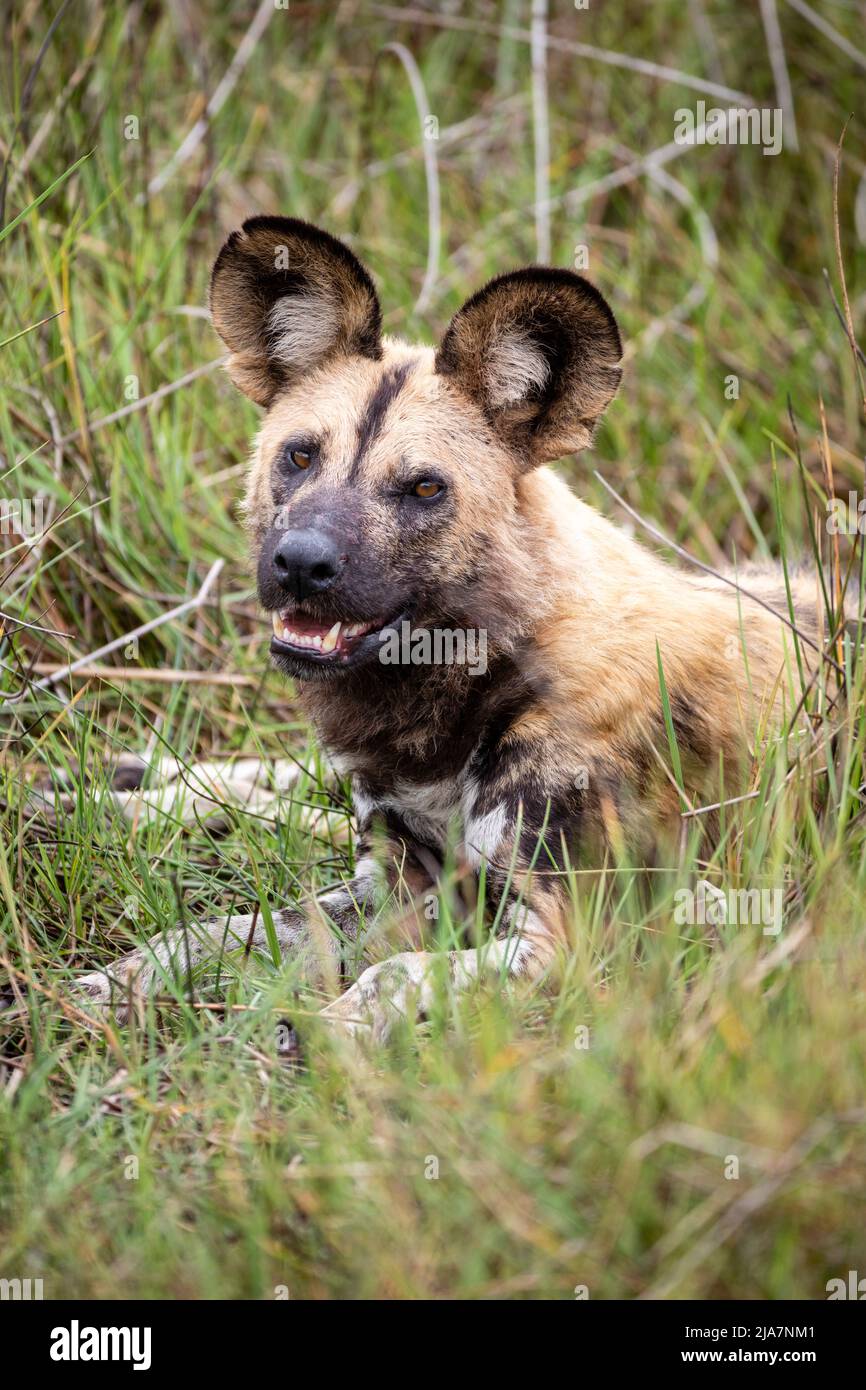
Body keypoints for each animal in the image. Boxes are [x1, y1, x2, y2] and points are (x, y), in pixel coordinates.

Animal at [77, 216, 828, 1045]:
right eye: (299, 456)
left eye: (424, 488)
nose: (300, 563)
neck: (462, 689)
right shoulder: (394, 880)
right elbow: (215, 933)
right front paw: (124, 980)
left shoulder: (559, 933)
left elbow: (393, 973)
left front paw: (321, 1037)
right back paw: (119, 792)